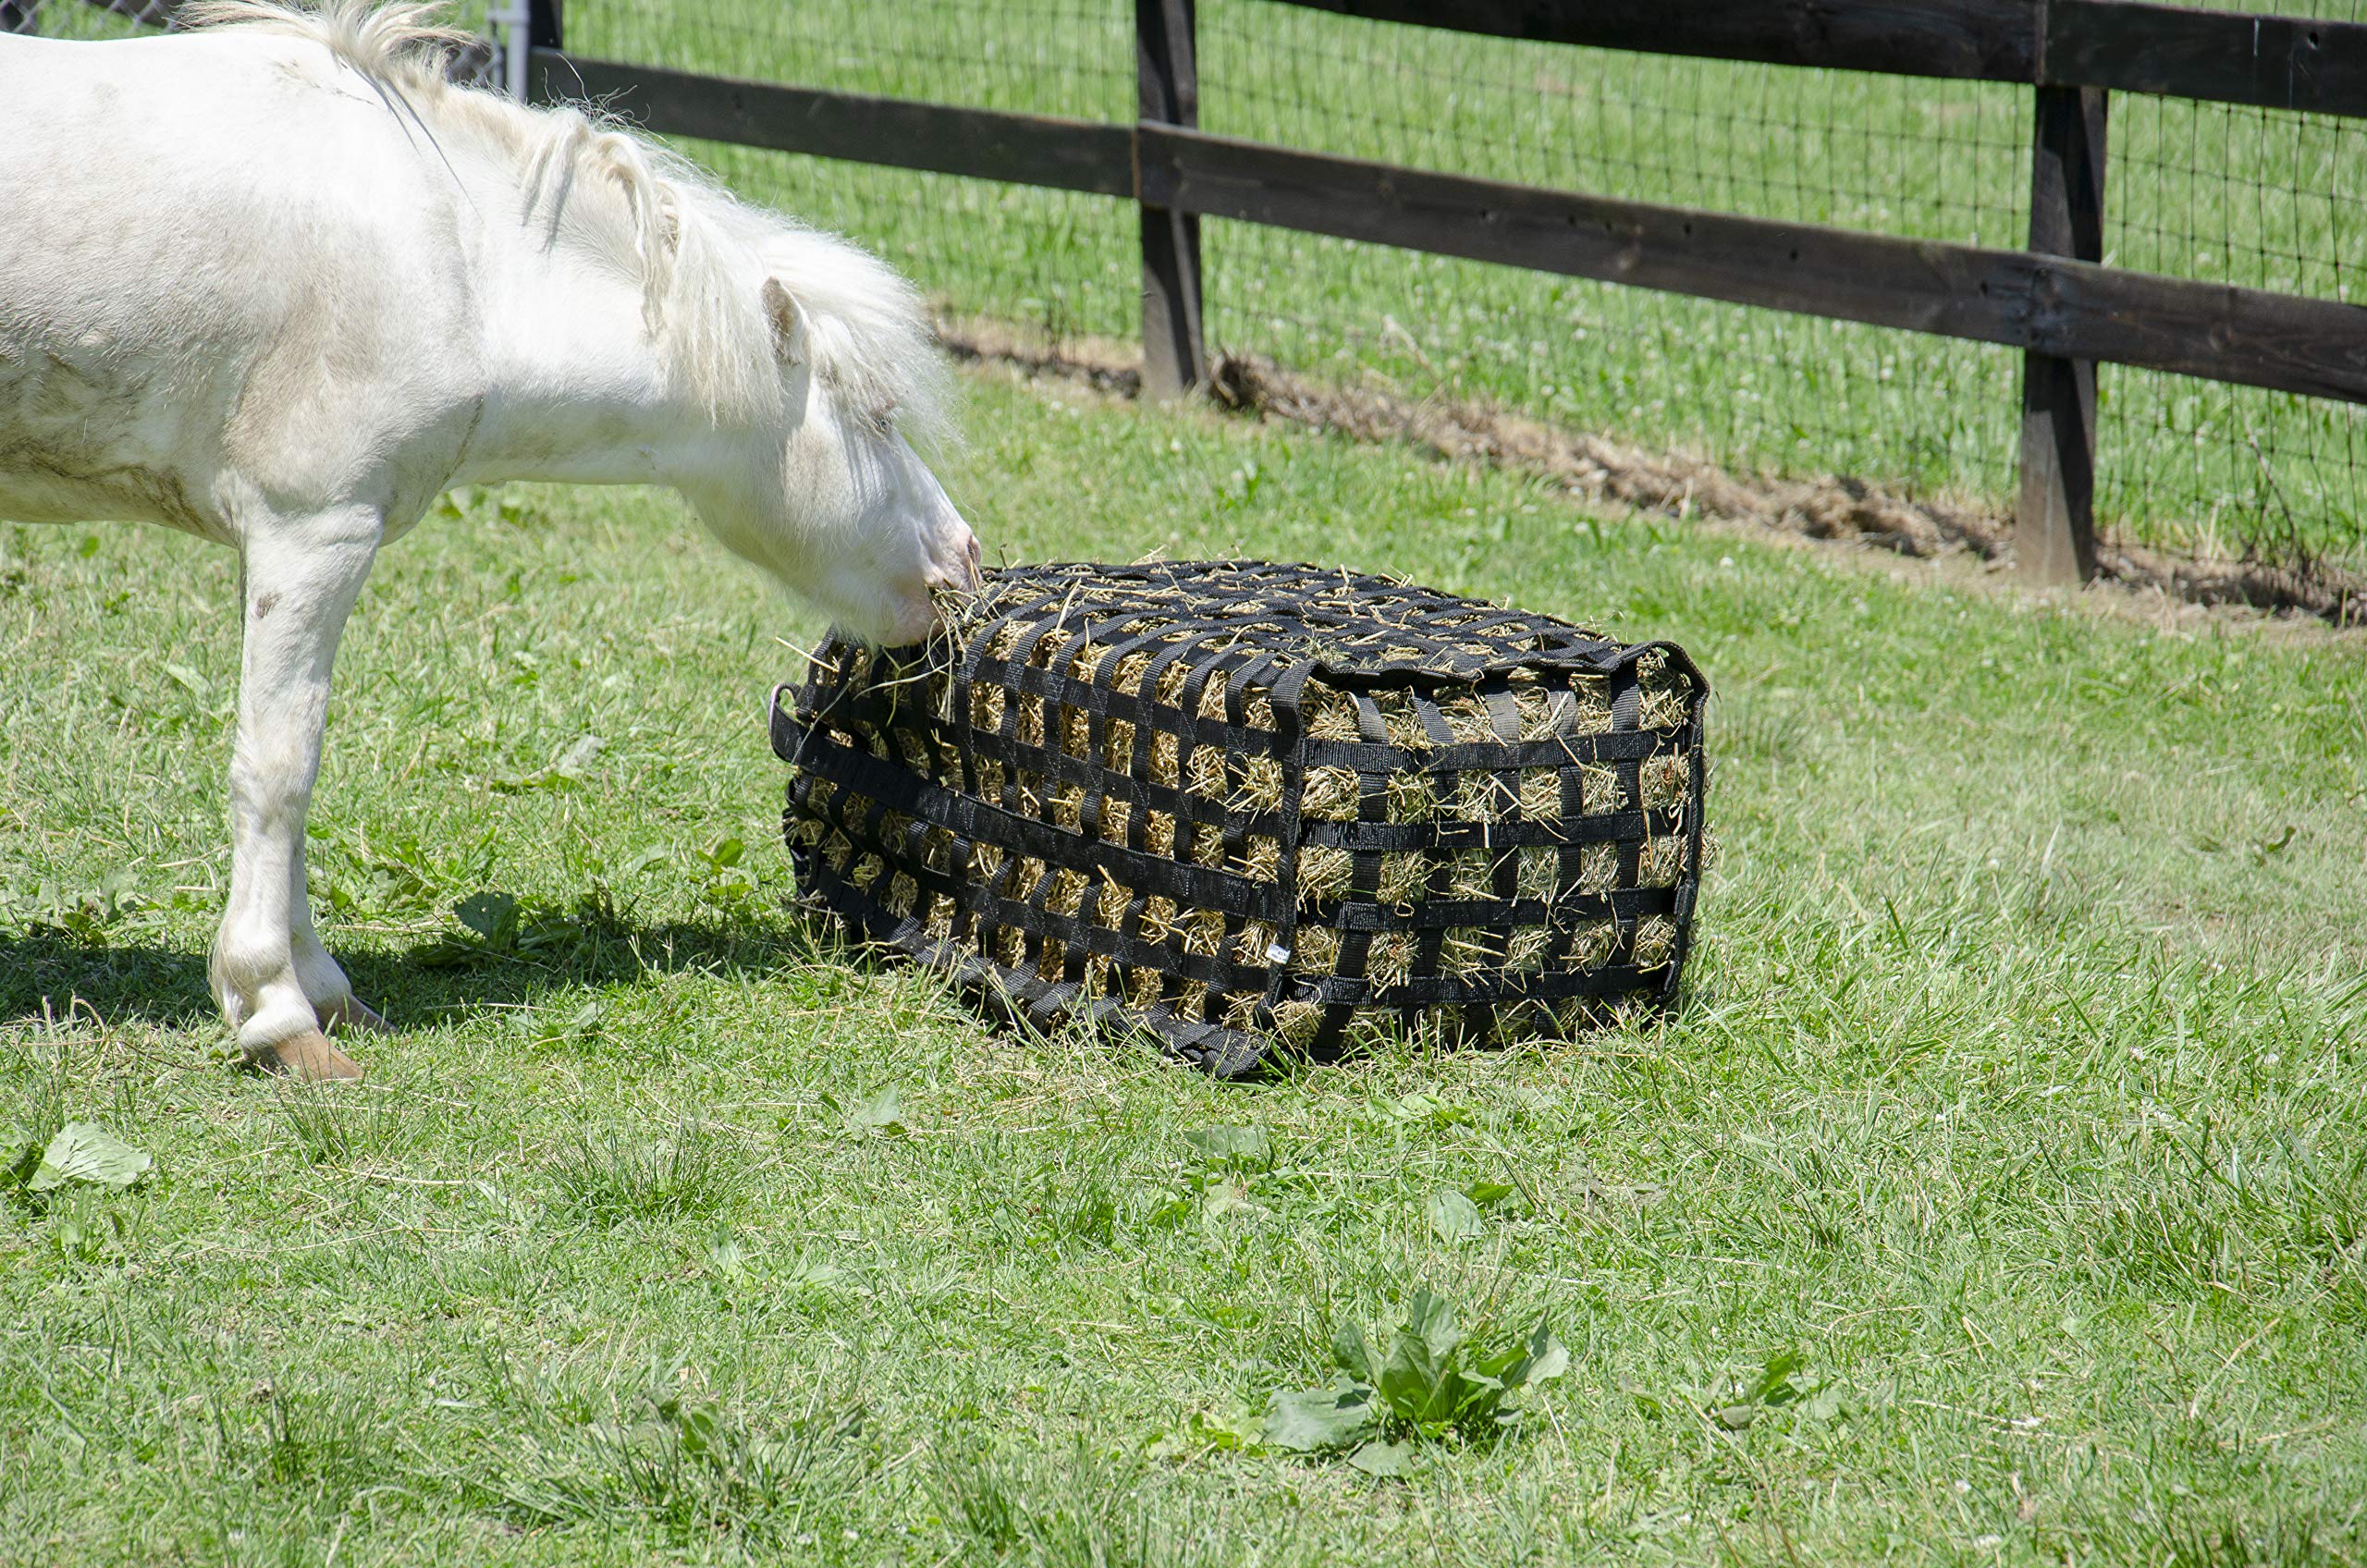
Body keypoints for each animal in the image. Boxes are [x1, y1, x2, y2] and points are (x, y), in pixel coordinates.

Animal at [0, 0, 980, 1080]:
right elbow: (279, 768)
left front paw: (325, 989)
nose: (962, 563)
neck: (454, 259)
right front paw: (276, 1009)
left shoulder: (295, 549)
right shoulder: (313, 533)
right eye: (880, 416)